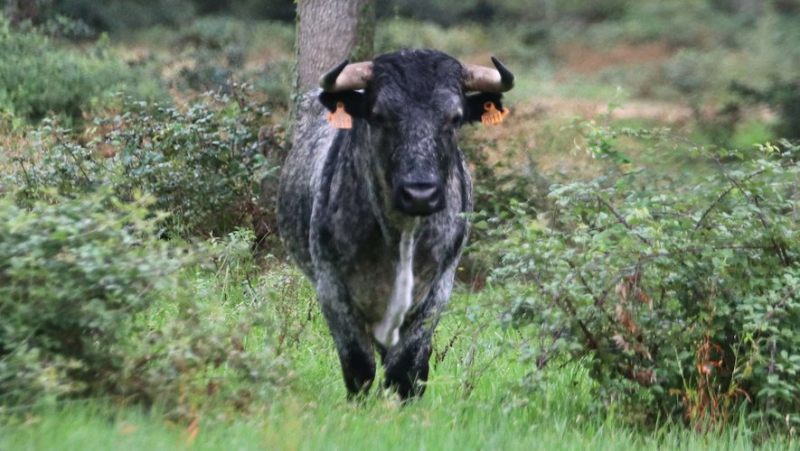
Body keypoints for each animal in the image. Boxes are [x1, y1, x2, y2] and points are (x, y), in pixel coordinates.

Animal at [276, 48, 512, 400]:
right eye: (379, 116)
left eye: (455, 118)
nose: (420, 193)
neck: (401, 233)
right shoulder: (332, 290)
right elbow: (359, 367)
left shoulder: (437, 291)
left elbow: (405, 369)